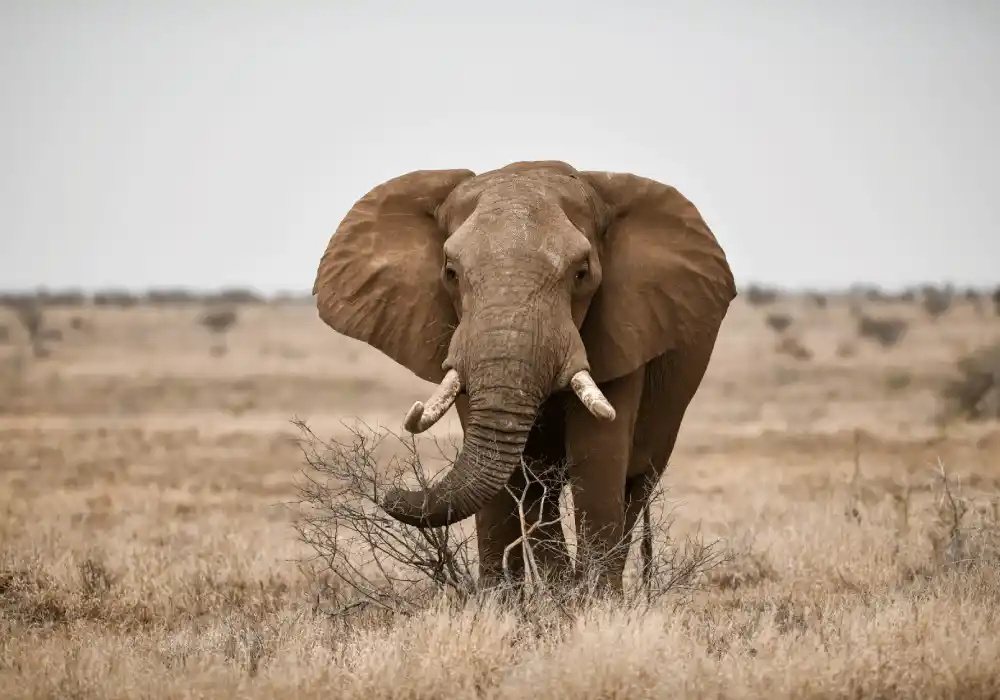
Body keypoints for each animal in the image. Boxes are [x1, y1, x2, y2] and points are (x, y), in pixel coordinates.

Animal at [312, 159, 736, 592]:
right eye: (450, 273)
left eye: (582, 273)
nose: (389, 492)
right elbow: (512, 473)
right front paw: (505, 602)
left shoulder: (624, 327)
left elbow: (597, 453)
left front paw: (593, 602)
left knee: (636, 483)